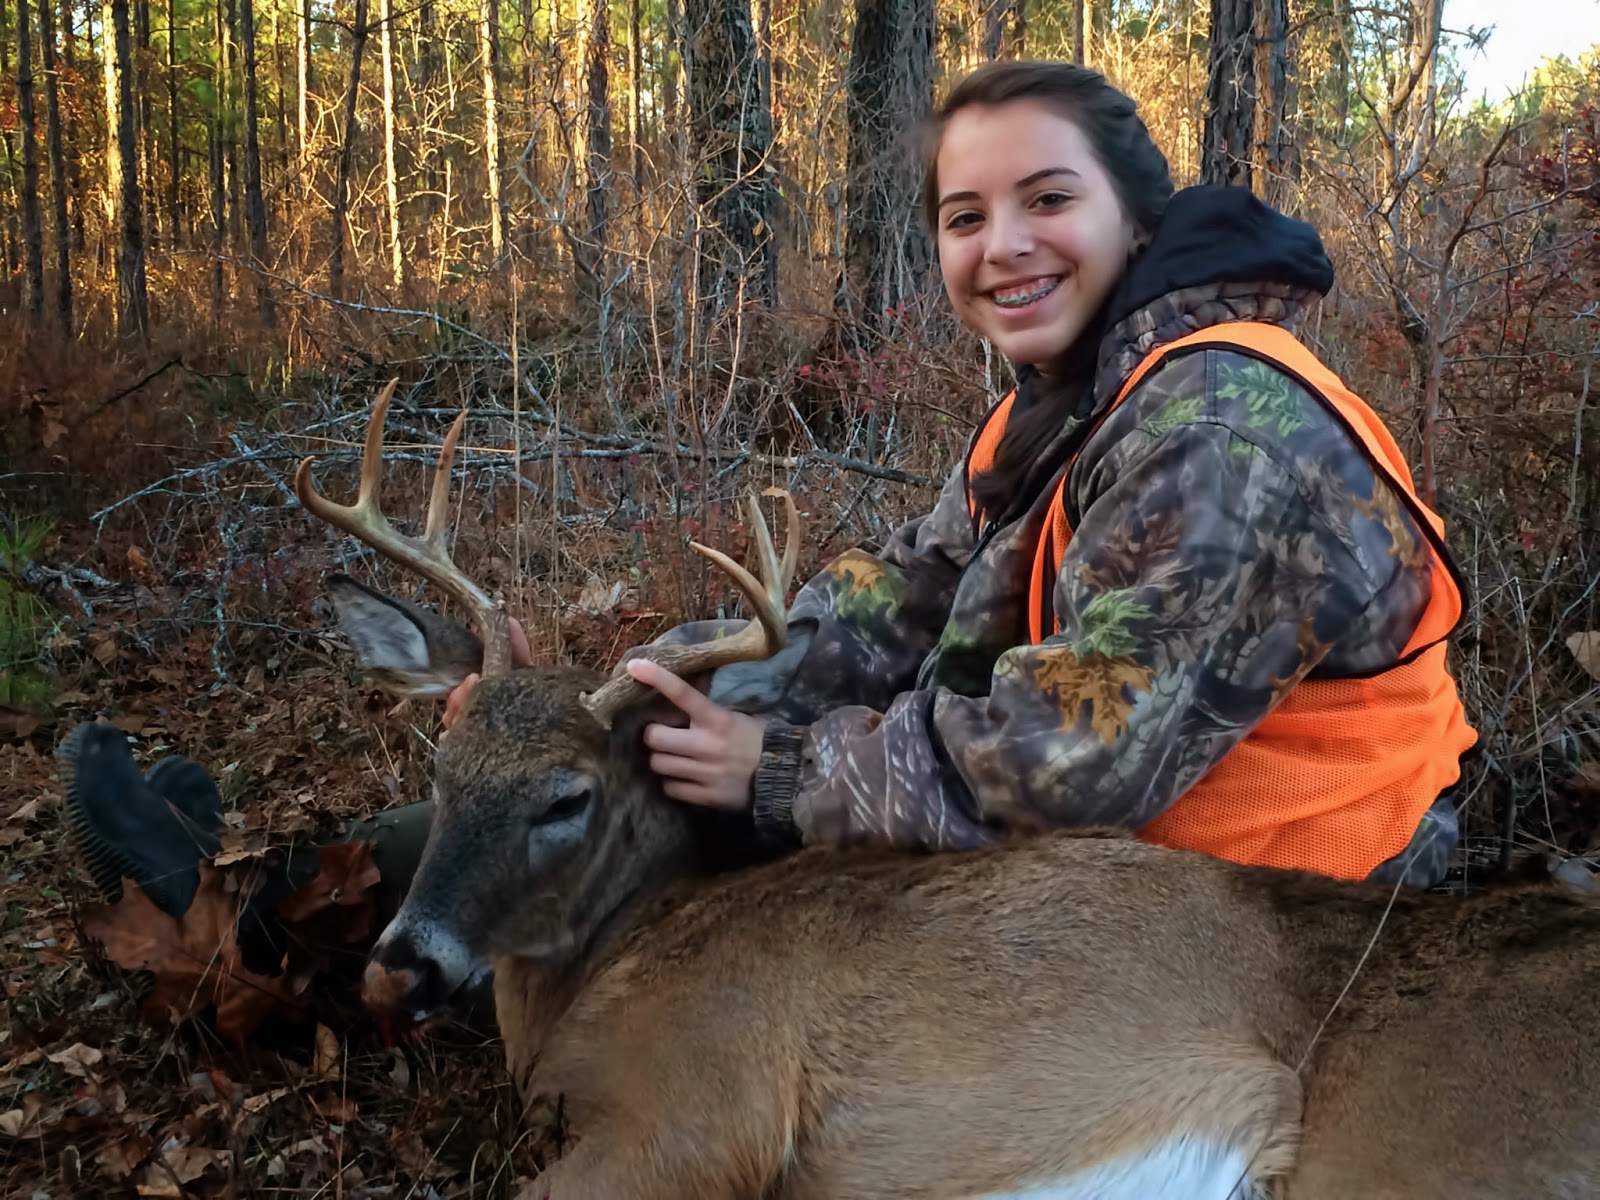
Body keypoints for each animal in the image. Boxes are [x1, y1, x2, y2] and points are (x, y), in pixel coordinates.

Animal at [295, 380, 1600, 1200]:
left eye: (565, 797)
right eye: (441, 762)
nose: (399, 967)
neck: (600, 975)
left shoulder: (701, 1112)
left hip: (1428, 1149)